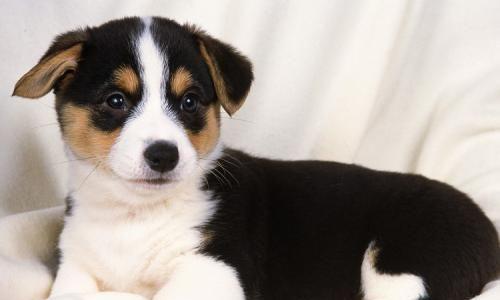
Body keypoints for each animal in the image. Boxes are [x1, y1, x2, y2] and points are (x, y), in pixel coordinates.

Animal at [13, 17, 498, 300]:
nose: (164, 155)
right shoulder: (76, 271)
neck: (135, 216)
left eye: (190, 101)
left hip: (403, 270)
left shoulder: (215, 272)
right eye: (115, 100)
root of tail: (488, 229)